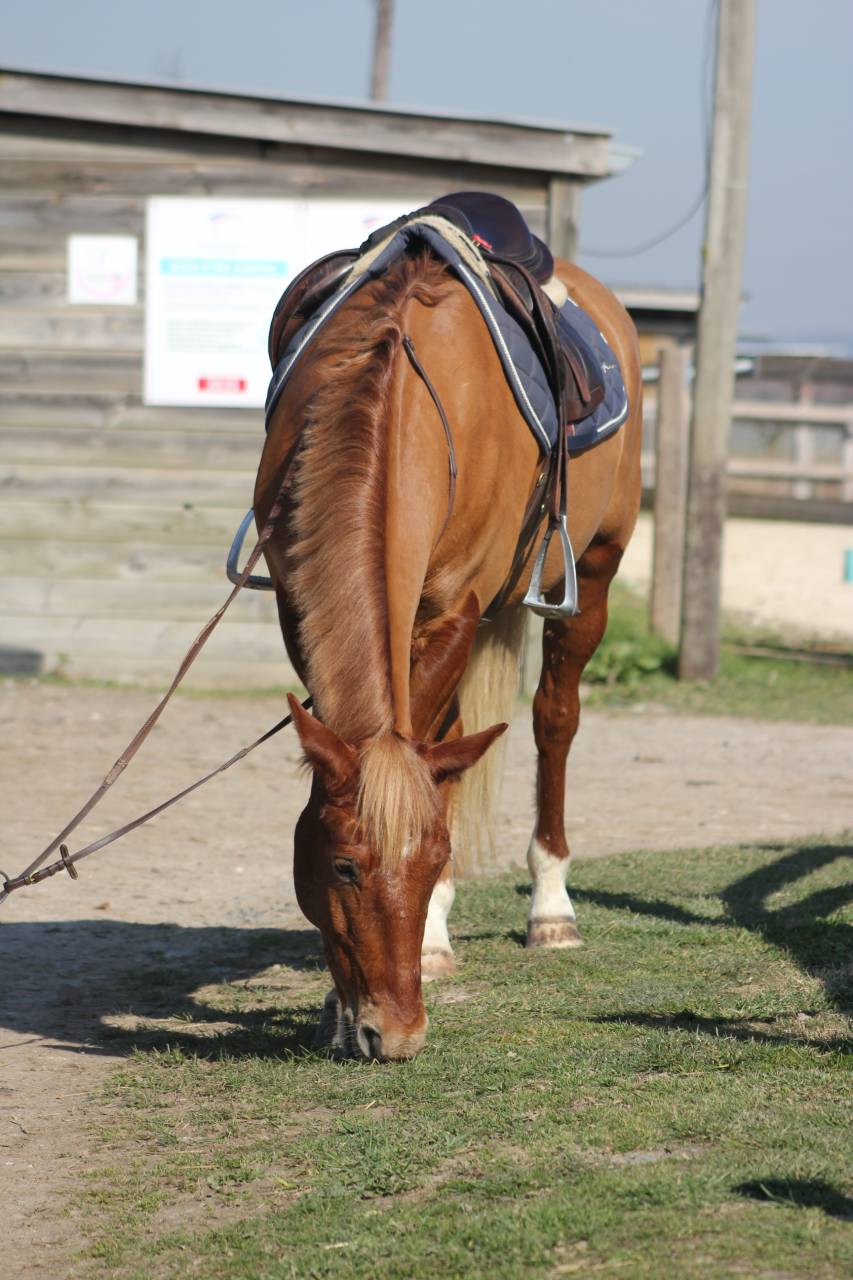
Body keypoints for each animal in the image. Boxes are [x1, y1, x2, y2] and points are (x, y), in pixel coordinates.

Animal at [253, 231, 642, 1062]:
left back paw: (549, 908)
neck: (399, 397)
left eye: (431, 857)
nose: (395, 1033)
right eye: (342, 866)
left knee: (553, 720)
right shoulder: (301, 608)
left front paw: (427, 934)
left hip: (593, 572)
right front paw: (342, 1004)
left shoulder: (453, 605)